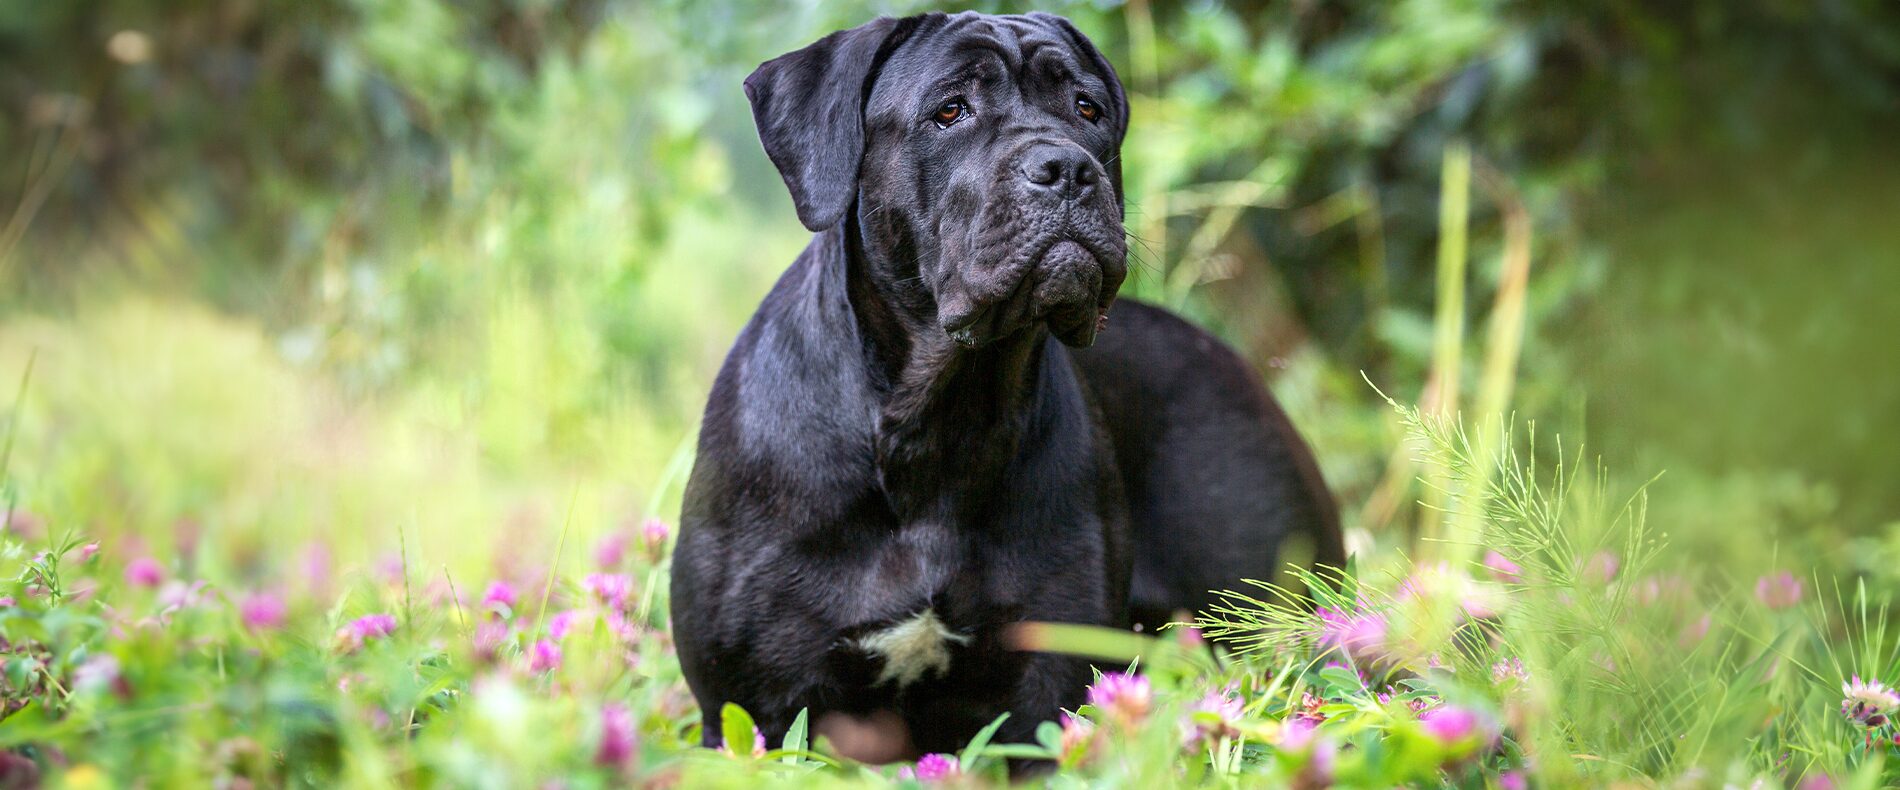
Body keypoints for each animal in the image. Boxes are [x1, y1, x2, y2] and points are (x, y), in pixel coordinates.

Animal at [676, 7, 1345, 759]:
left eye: (1087, 108)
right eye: (950, 110)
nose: (1067, 168)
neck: (939, 414)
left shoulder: (1042, 693)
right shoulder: (759, 705)